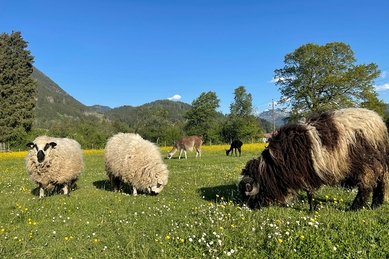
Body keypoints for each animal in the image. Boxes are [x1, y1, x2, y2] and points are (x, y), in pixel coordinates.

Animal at [236, 108, 388, 212]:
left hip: (367, 164)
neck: (273, 164)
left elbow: (309, 192)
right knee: (379, 183)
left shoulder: (305, 172)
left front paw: (311, 209)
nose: (249, 208)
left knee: (366, 186)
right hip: (377, 163)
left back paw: (355, 207)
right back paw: (376, 204)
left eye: (247, 195)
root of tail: (380, 123)